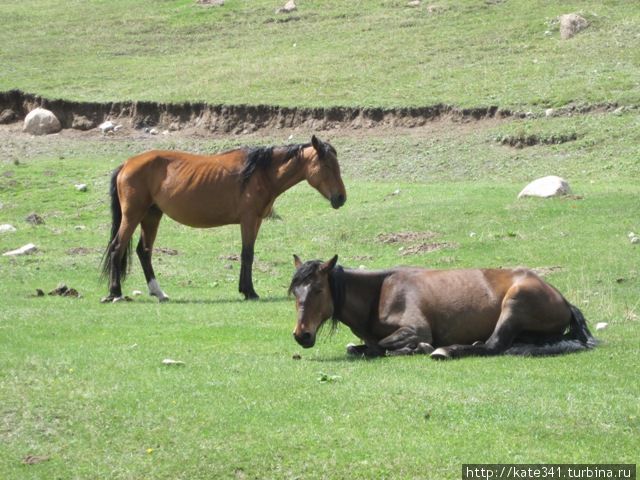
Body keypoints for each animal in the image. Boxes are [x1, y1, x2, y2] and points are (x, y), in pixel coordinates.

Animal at [101, 135, 344, 302]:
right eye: (327, 165)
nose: (341, 198)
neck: (260, 173)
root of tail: (127, 164)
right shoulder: (248, 220)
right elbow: (247, 254)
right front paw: (250, 291)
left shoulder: (256, 221)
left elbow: (248, 253)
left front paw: (245, 289)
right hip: (133, 215)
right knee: (117, 247)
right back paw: (115, 293)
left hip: (151, 215)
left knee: (144, 251)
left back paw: (158, 292)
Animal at [288, 255, 596, 360]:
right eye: (295, 293)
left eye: (318, 290)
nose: (301, 335)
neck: (380, 292)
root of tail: (564, 301)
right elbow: (357, 347)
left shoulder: (417, 329)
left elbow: (383, 345)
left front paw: (417, 349)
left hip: (516, 301)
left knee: (492, 346)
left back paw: (445, 351)